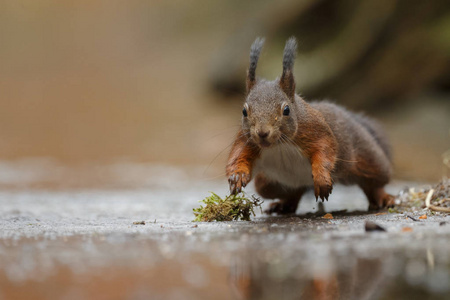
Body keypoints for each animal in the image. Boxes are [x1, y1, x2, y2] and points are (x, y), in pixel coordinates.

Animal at [225, 37, 394, 214]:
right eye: (244, 111)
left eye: (286, 110)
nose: (262, 133)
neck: (280, 145)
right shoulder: (246, 139)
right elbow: (238, 156)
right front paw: (236, 177)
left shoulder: (315, 129)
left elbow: (325, 150)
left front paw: (321, 178)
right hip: (268, 183)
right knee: (290, 191)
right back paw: (283, 205)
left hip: (369, 159)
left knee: (374, 183)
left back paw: (383, 199)